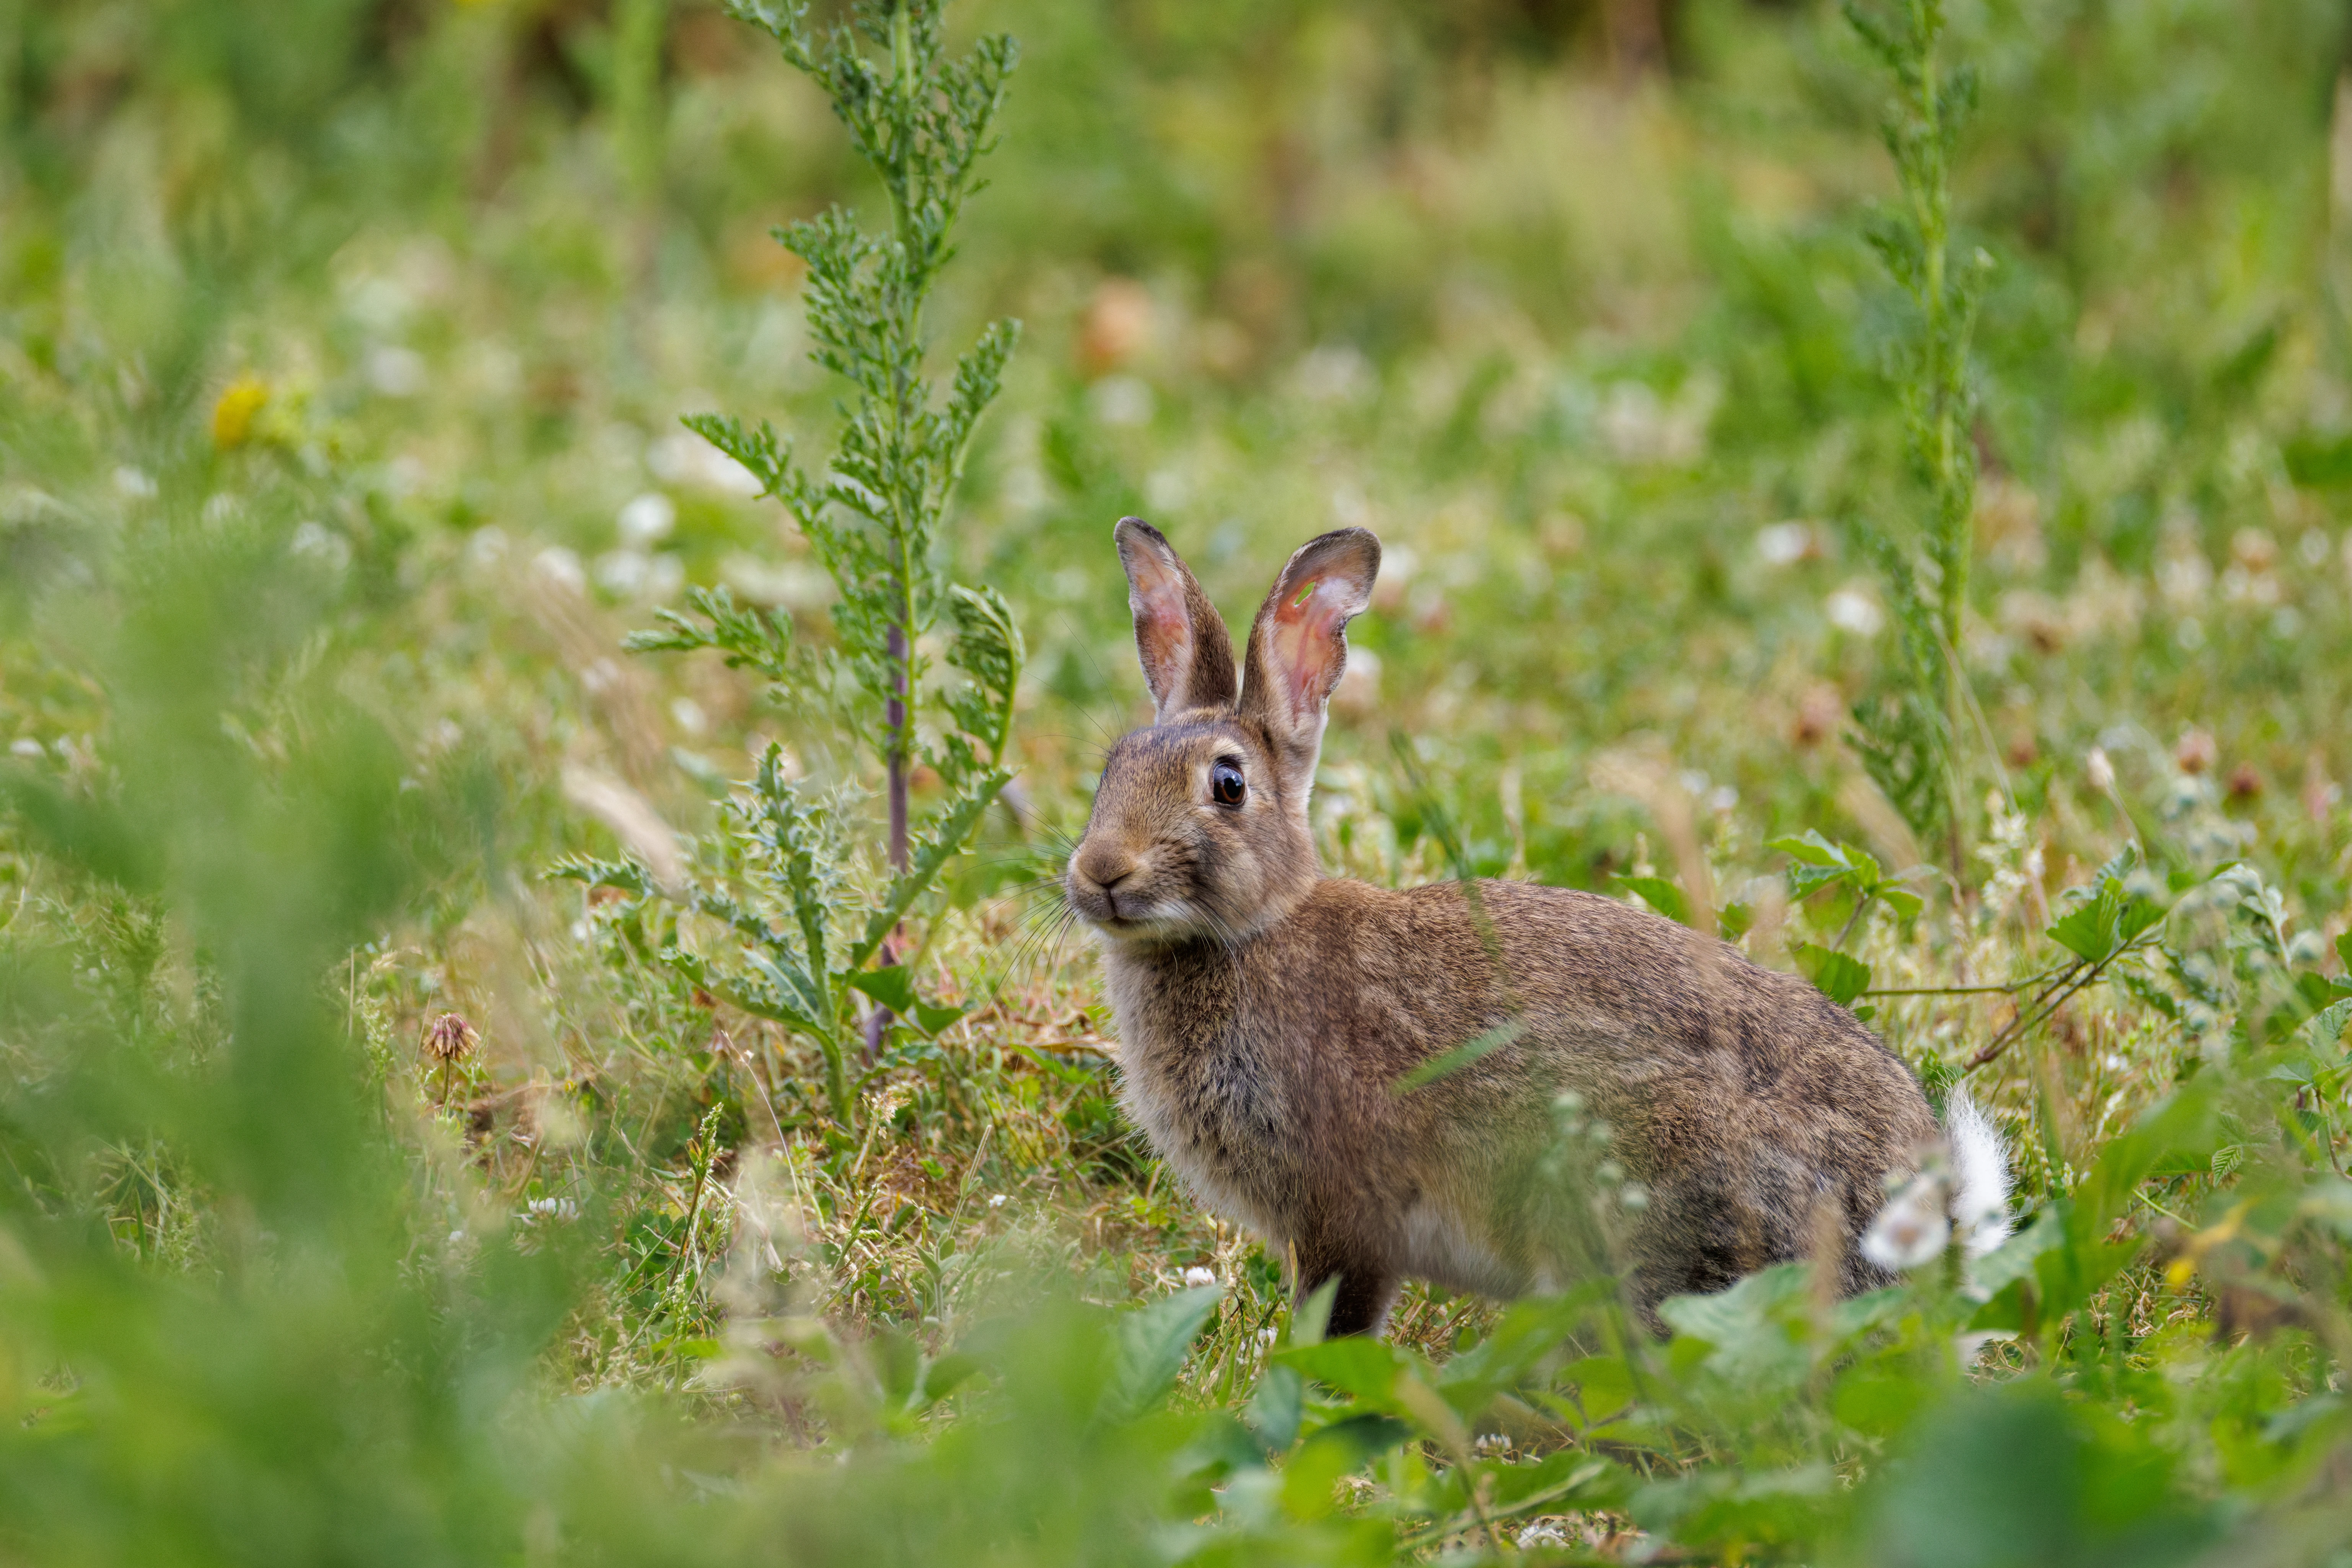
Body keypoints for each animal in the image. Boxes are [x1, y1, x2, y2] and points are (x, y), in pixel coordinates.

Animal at [1064, 517, 2010, 1338]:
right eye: (1110, 771)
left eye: (1227, 785)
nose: (1100, 872)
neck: (1250, 932)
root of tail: (1921, 1229)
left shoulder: (1344, 1215)